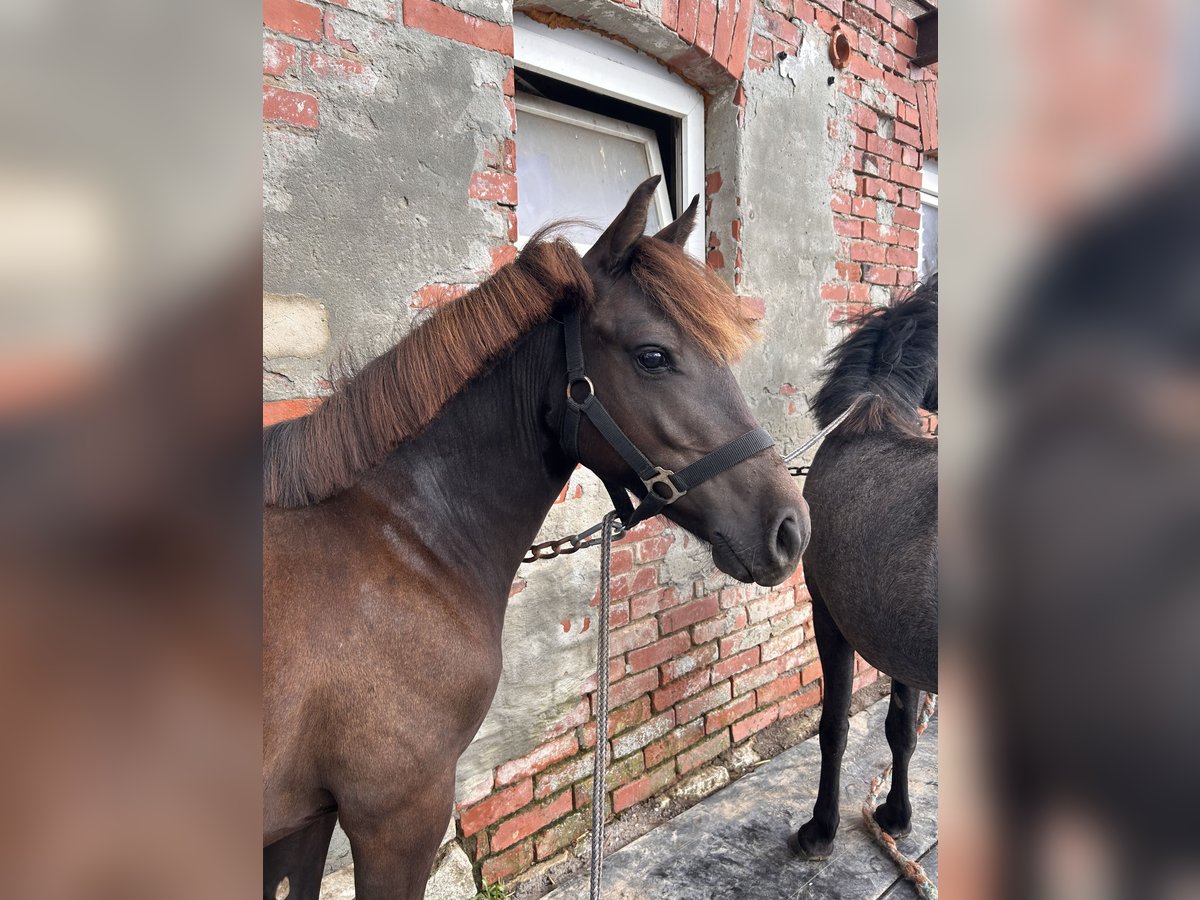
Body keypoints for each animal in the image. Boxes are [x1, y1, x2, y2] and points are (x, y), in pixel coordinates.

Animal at [792, 282, 940, 859]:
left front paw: (821, 829)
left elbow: (834, 727)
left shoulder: (830, 619)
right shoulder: (897, 641)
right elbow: (901, 728)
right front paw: (896, 817)